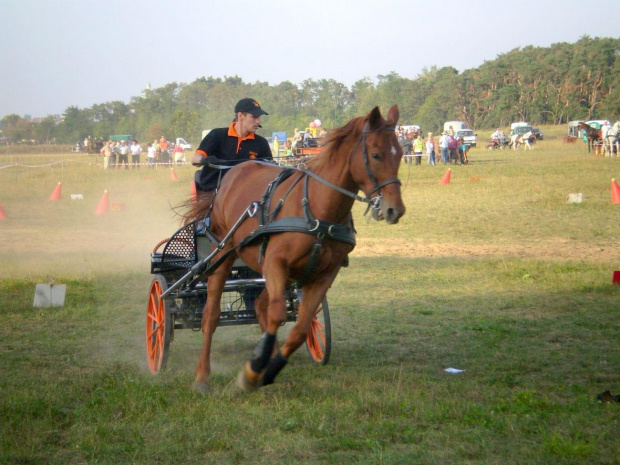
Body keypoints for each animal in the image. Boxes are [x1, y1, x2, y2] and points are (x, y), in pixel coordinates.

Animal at [183, 105, 406, 392]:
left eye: (400, 153)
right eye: (376, 154)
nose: (394, 210)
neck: (318, 210)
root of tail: (234, 171)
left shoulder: (324, 274)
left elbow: (300, 327)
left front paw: (265, 368)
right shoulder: (275, 262)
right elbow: (277, 313)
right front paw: (253, 369)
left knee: (261, 306)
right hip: (223, 252)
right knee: (211, 315)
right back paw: (202, 376)